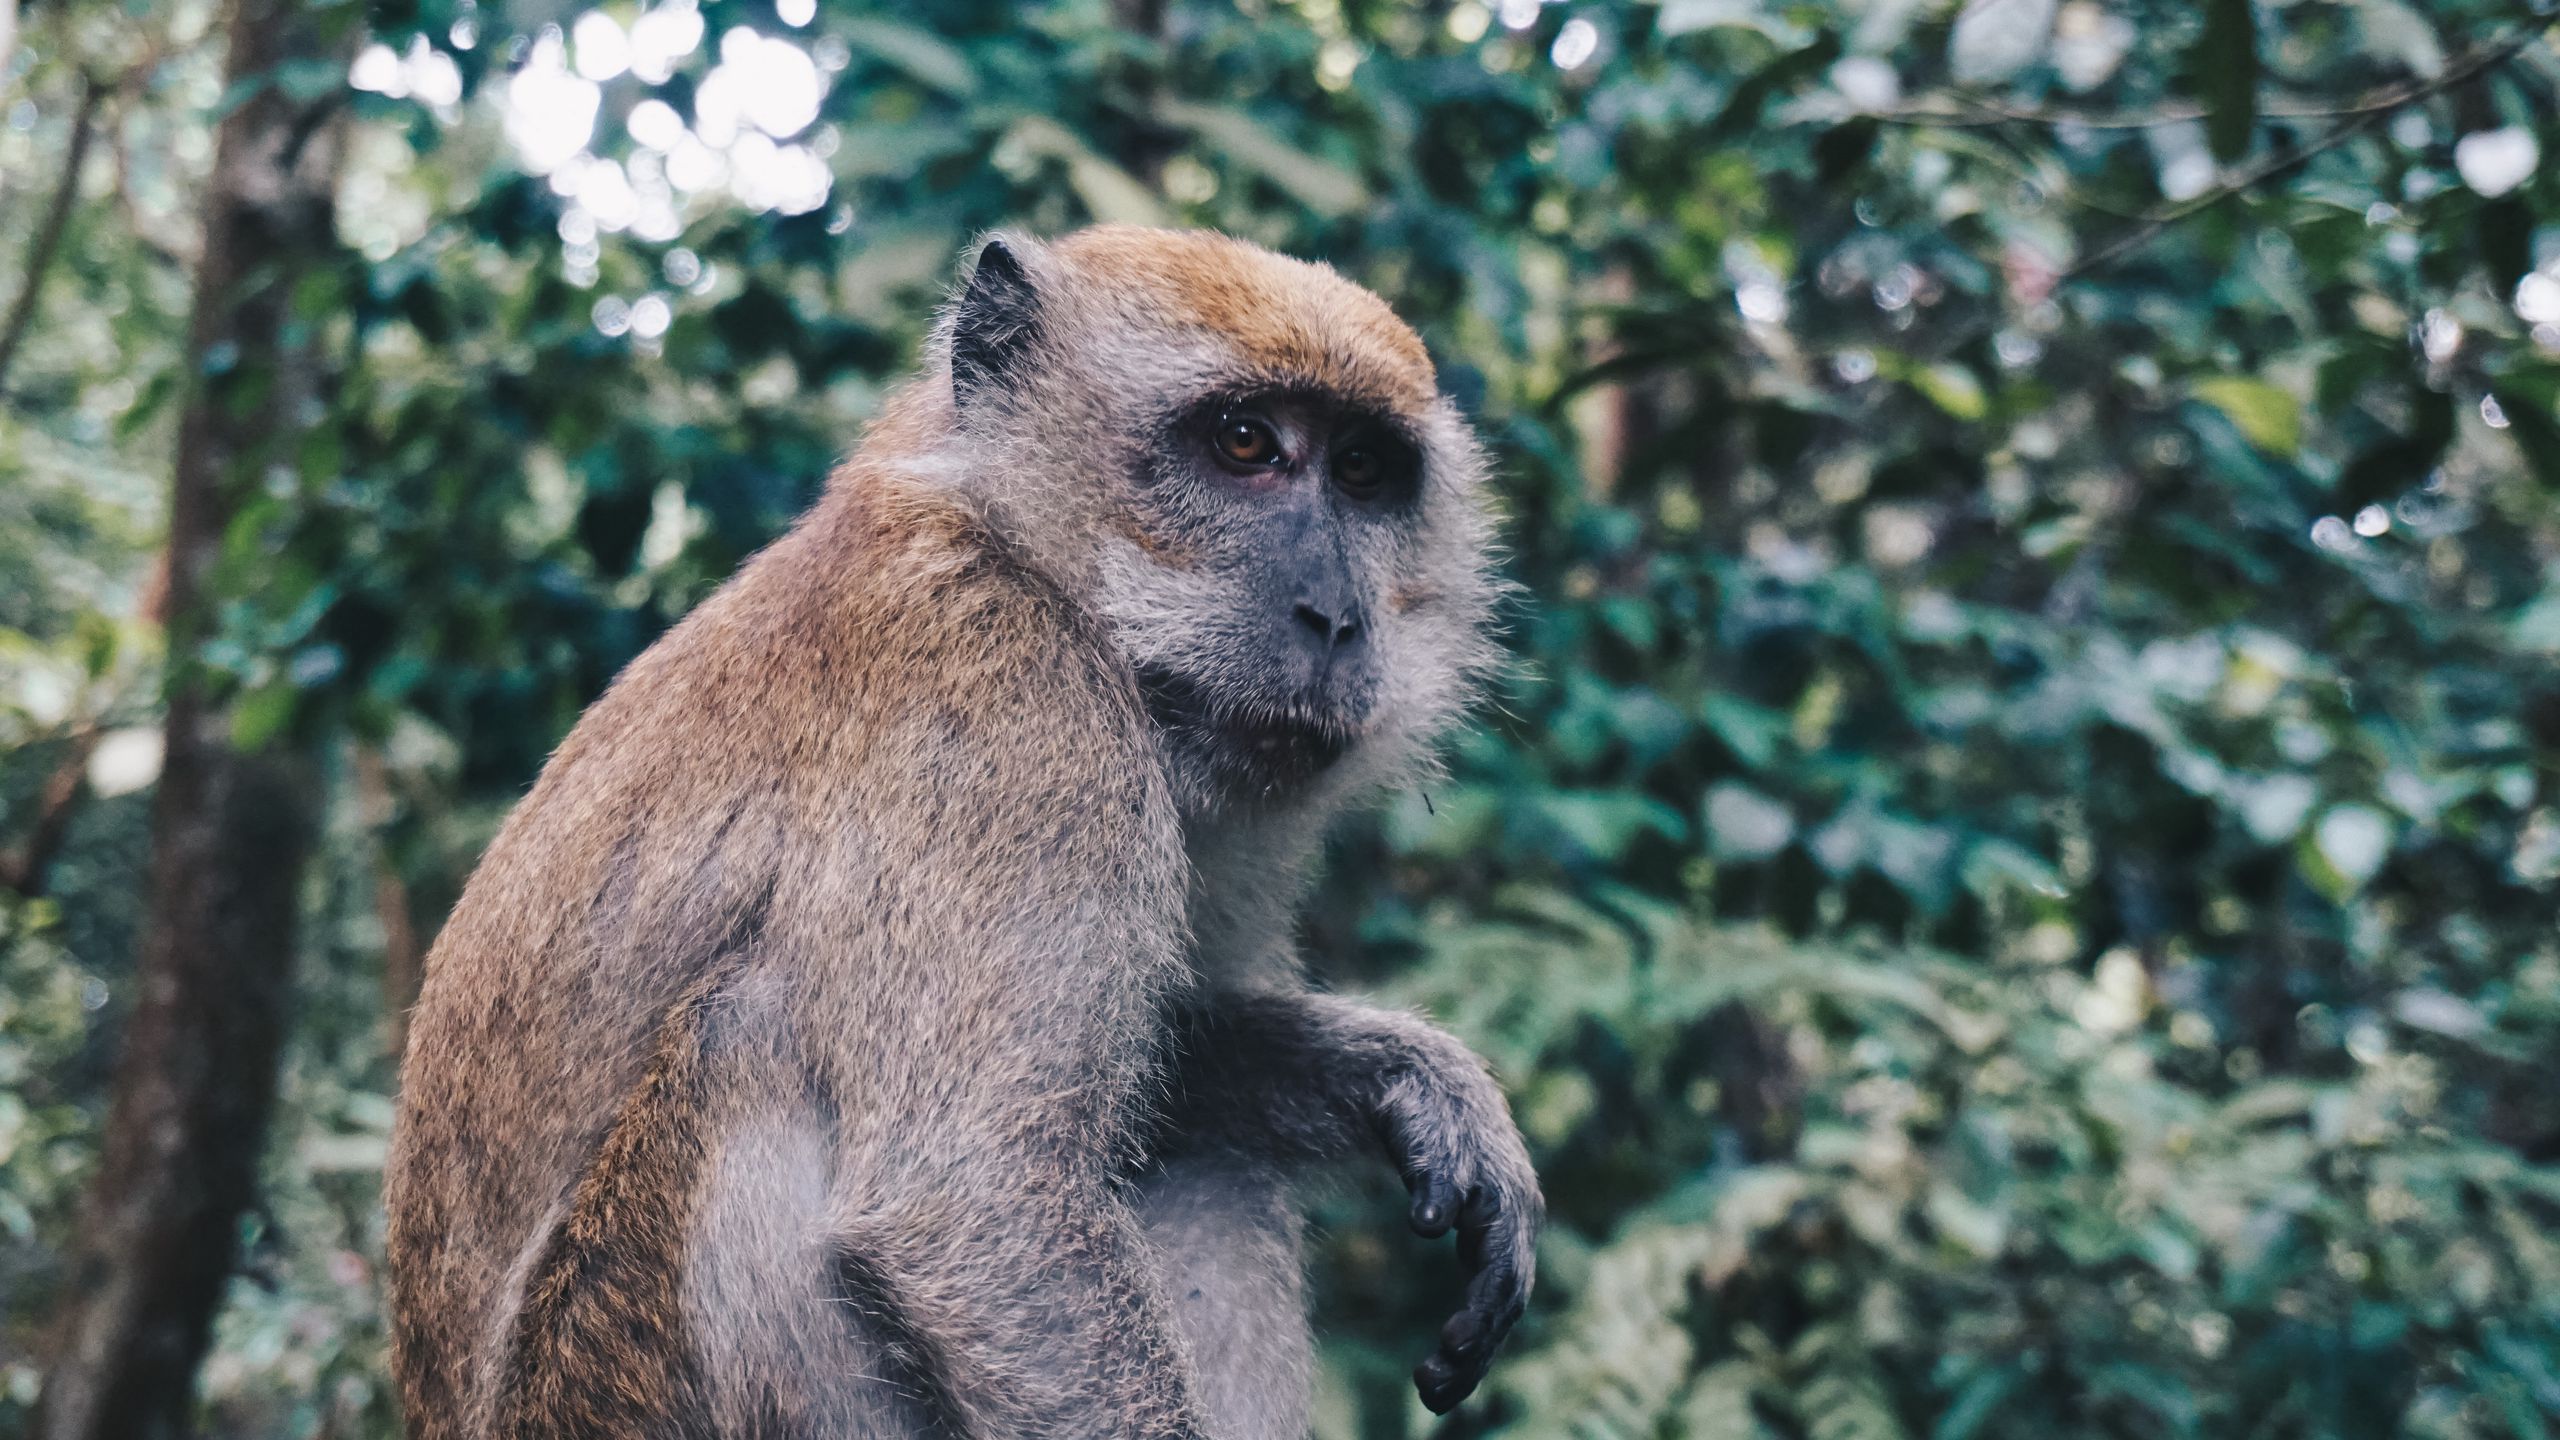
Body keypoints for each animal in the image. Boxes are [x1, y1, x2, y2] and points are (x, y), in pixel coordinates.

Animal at [378, 226, 1536, 1434]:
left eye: (1362, 471)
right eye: (1245, 443)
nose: (1333, 618)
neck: (1015, 543)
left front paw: (1410, 1082)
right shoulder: (1011, 715)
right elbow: (978, 1208)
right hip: (612, 1373)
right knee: (751, 1036)